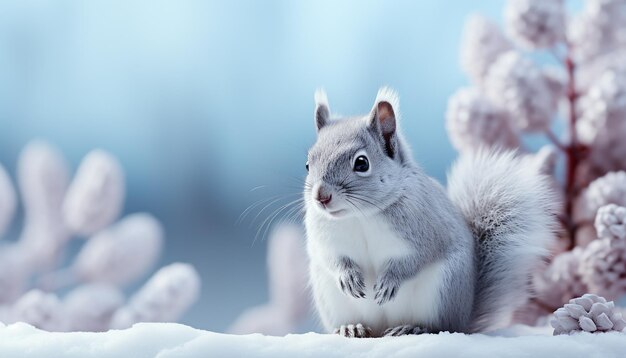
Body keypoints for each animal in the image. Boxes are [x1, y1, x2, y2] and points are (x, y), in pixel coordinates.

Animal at [302, 87, 556, 338]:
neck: (360, 215)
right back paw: (352, 327)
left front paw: (390, 280)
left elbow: (417, 258)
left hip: (441, 292)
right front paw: (347, 276)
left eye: (362, 163)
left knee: (441, 326)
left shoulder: (427, 231)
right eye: (308, 164)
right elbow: (330, 257)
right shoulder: (325, 238)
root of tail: (464, 317)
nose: (321, 197)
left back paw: (412, 328)